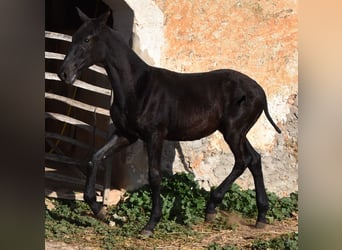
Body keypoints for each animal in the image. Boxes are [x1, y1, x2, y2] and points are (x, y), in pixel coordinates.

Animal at [59, 8, 280, 236]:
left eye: (87, 39)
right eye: (73, 37)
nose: (64, 73)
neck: (137, 87)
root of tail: (261, 92)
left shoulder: (155, 135)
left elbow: (154, 175)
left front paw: (151, 224)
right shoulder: (126, 134)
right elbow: (95, 158)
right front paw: (98, 209)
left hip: (233, 132)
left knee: (243, 160)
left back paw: (213, 207)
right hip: (238, 132)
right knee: (254, 159)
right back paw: (259, 215)